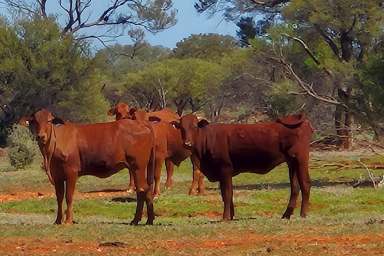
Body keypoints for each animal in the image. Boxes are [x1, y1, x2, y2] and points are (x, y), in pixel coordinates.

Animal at [25, 109, 156, 225]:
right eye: (34, 121)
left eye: (49, 121)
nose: (41, 136)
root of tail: (142, 125)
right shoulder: (57, 175)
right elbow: (59, 197)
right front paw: (57, 221)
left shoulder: (71, 172)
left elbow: (68, 196)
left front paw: (68, 221)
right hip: (137, 168)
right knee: (145, 189)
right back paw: (148, 220)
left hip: (138, 167)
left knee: (142, 190)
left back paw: (136, 220)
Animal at [172, 113, 314, 221]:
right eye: (182, 128)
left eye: (195, 126)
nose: (187, 143)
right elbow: (226, 194)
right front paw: (231, 215)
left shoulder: (225, 169)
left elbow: (227, 193)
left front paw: (225, 217)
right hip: (292, 162)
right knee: (295, 187)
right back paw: (286, 215)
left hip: (301, 159)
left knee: (305, 184)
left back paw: (303, 214)